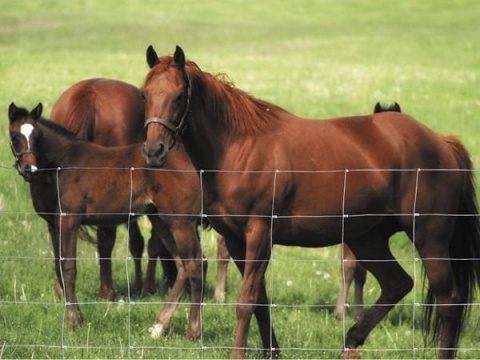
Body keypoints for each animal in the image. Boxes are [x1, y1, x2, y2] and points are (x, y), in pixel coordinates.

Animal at [7, 102, 204, 338]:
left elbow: (68, 267)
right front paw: (76, 315)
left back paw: (193, 331)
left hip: (181, 222)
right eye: (14, 136)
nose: (30, 169)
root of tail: (188, 161)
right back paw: (159, 326)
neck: (60, 165)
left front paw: (72, 321)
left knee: (195, 264)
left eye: (36, 135)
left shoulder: (69, 219)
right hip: (161, 220)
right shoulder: (52, 224)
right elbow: (58, 266)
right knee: (183, 266)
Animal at [141, 46, 480, 358]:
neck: (239, 149)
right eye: (146, 95)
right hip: (367, 239)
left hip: (429, 238)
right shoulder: (236, 240)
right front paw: (272, 351)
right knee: (397, 283)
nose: (154, 150)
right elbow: (260, 301)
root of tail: (441, 142)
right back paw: (351, 340)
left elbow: (246, 302)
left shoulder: (259, 235)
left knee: (448, 301)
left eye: (180, 96)